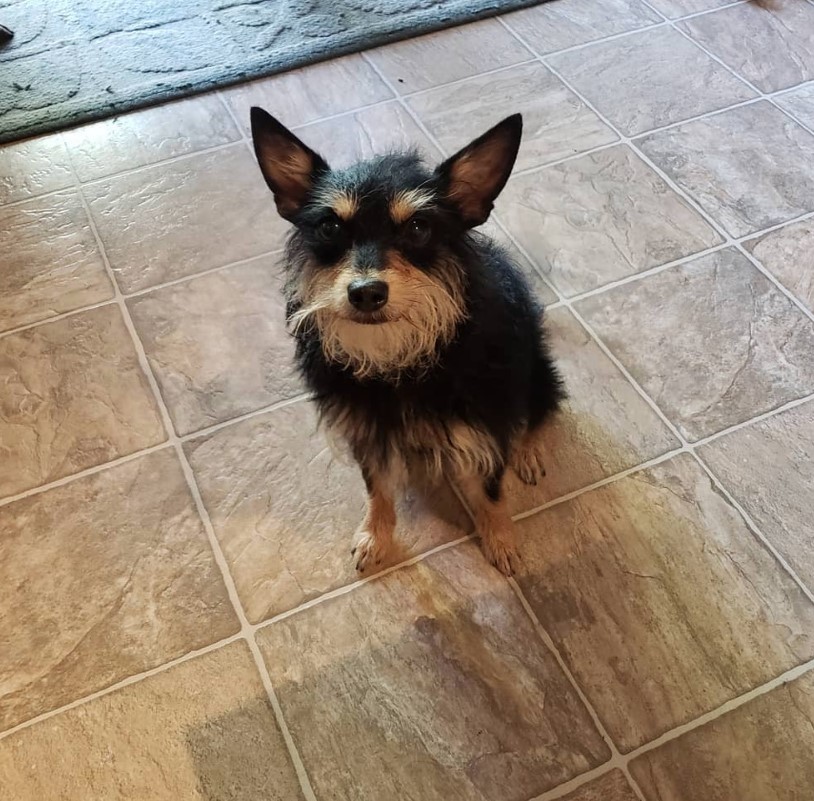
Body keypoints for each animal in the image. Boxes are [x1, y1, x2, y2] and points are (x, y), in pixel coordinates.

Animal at [252, 106, 564, 576]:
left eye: (418, 227)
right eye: (329, 226)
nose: (366, 292)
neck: (397, 356)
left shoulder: (487, 426)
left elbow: (491, 491)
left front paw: (501, 539)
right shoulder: (365, 431)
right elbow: (377, 489)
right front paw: (374, 536)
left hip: (537, 370)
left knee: (541, 411)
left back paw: (528, 453)